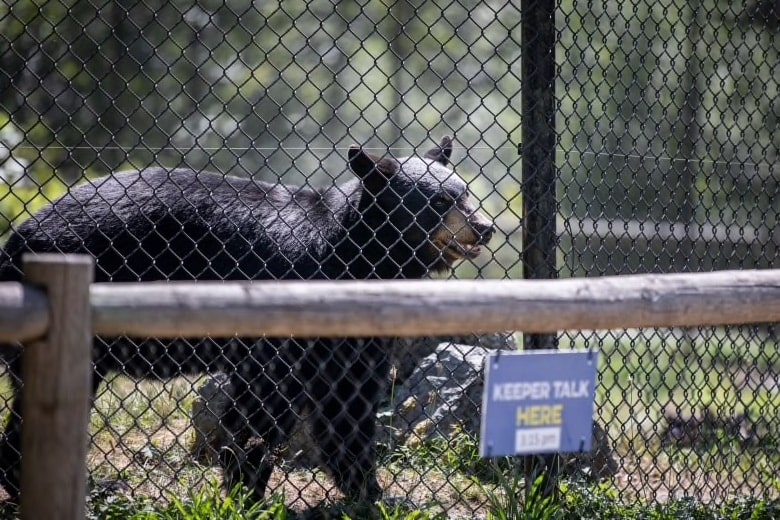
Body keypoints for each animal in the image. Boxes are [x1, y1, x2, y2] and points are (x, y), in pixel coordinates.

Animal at [0, 136, 494, 502]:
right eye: (441, 202)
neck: (358, 258)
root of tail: (20, 234)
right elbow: (262, 404)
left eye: (466, 192)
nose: (485, 226)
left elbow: (346, 405)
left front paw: (372, 494)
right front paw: (247, 490)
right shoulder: (288, 306)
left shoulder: (351, 335)